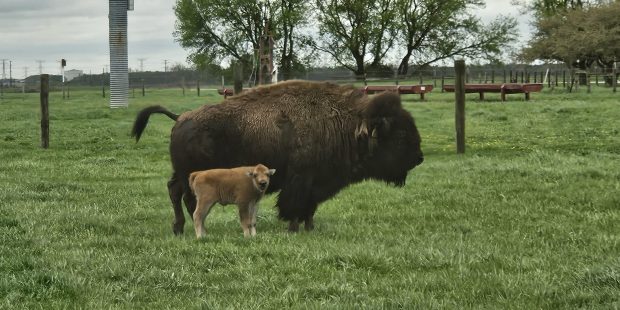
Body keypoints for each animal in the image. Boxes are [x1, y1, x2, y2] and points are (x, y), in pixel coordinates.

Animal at [130, 80, 422, 235]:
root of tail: (181, 118)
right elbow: (295, 206)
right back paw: (192, 227)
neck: (346, 123)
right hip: (191, 174)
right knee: (187, 198)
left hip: (180, 172)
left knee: (174, 191)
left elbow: (310, 208)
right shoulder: (301, 181)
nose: (419, 158)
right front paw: (293, 228)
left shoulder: (316, 183)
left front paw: (309, 227)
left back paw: (179, 228)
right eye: (400, 136)